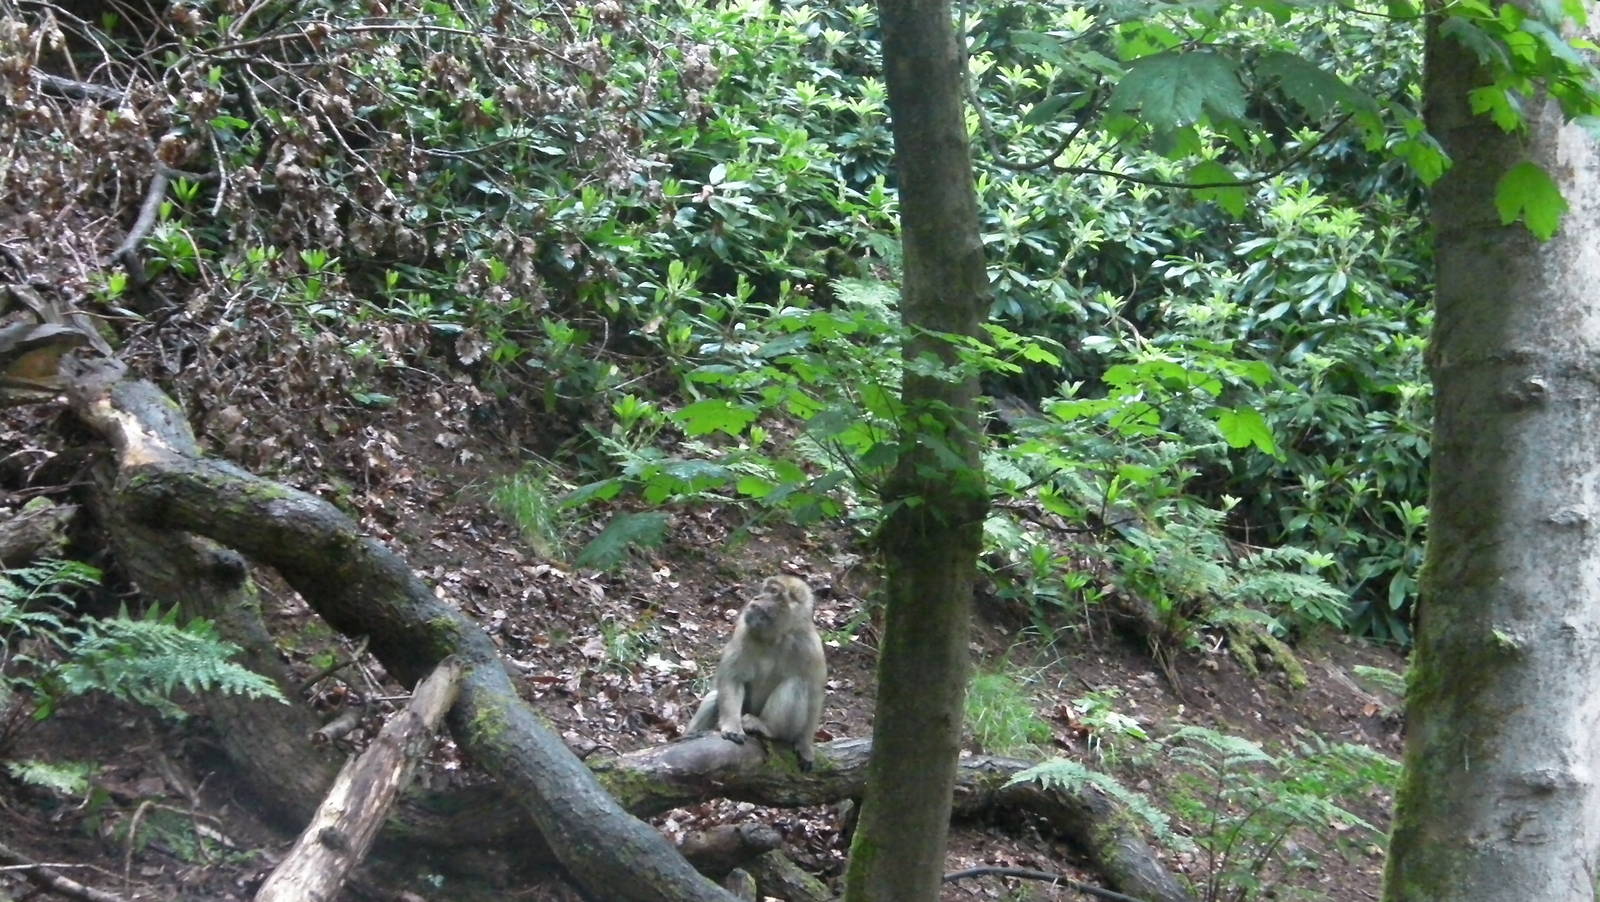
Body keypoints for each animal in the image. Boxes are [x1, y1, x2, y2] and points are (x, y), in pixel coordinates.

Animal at [686, 574, 826, 771]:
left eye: (773, 592)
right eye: (765, 589)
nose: (757, 598)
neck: (776, 637)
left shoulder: (811, 647)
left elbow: (814, 695)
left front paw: (805, 745)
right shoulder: (744, 630)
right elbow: (733, 679)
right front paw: (732, 726)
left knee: (797, 684)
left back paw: (766, 728)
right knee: (714, 697)